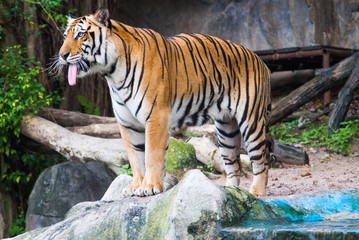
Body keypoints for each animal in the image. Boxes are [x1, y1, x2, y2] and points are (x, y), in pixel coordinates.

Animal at [57, 8, 276, 197]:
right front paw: (136, 186)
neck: (112, 73)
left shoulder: (156, 116)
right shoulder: (127, 123)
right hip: (226, 128)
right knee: (233, 164)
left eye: (80, 35)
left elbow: (152, 155)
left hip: (251, 120)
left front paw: (150, 186)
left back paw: (257, 191)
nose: (62, 55)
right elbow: (135, 157)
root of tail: (260, 61)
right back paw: (231, 193)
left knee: (261, 159)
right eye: (65, 36)